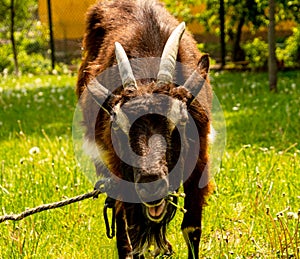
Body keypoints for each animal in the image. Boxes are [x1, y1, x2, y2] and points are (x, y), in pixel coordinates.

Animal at [77, 1, 213, 258]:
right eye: (118, 128)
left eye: (180, 122)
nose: (151, 184)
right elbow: (132, 228)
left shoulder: (199, 158)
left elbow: (191, 228)